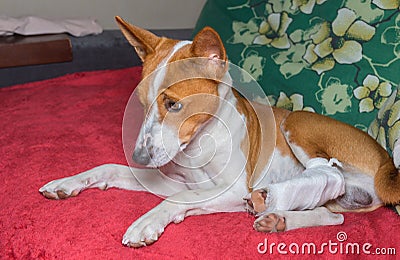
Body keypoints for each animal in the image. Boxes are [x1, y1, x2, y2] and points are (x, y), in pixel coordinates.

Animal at [39, 16, 400, 248]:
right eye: (141, 103)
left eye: (173, 104)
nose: (139, 157)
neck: (199, 143)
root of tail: (385, 161)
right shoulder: (172, 177)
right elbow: (109, 168)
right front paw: (67, 183)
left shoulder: (233, 189)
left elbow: (178, 199)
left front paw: (147, 222)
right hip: (336, 201)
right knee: (331, 217)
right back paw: (279, 219)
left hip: (297, 122)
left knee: (327, 176)